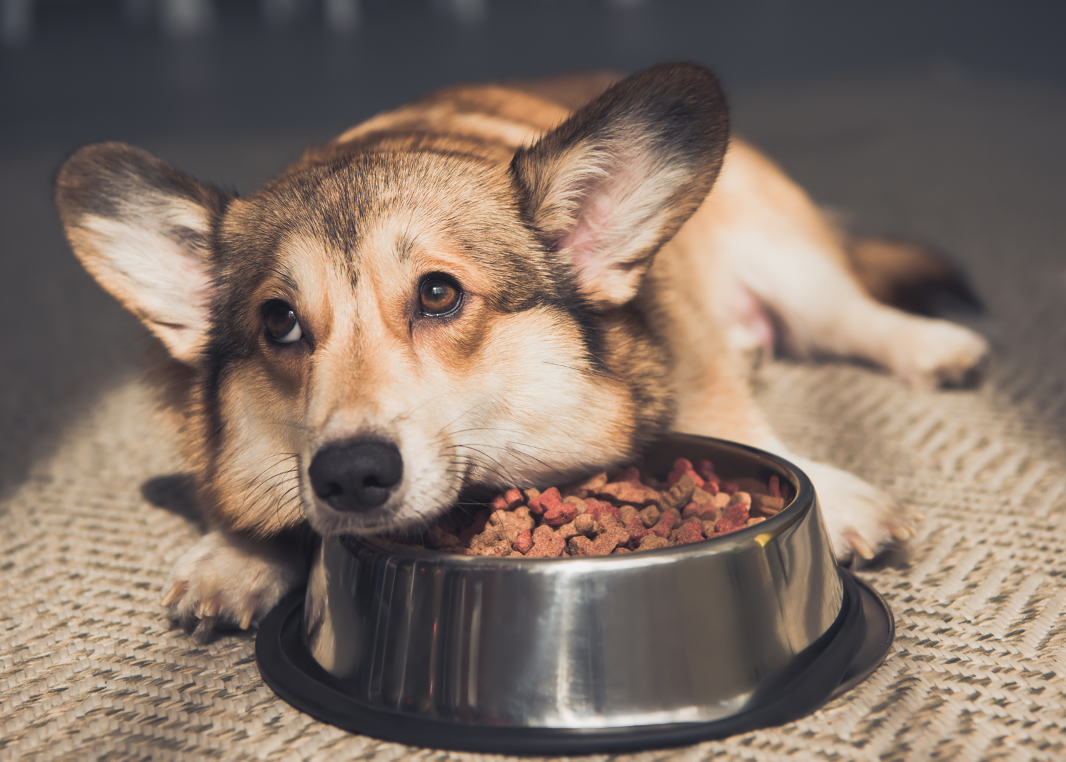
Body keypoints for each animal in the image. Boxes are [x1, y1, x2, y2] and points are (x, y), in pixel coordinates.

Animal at [54, 62, 984, 635]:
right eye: (280, 322)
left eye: (438, 294)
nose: (350, 476)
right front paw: (236, 558)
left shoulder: (693, 346)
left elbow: (738, 420)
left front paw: (838, 498)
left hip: (785, 257)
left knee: (851, 314)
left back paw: (936, 346)